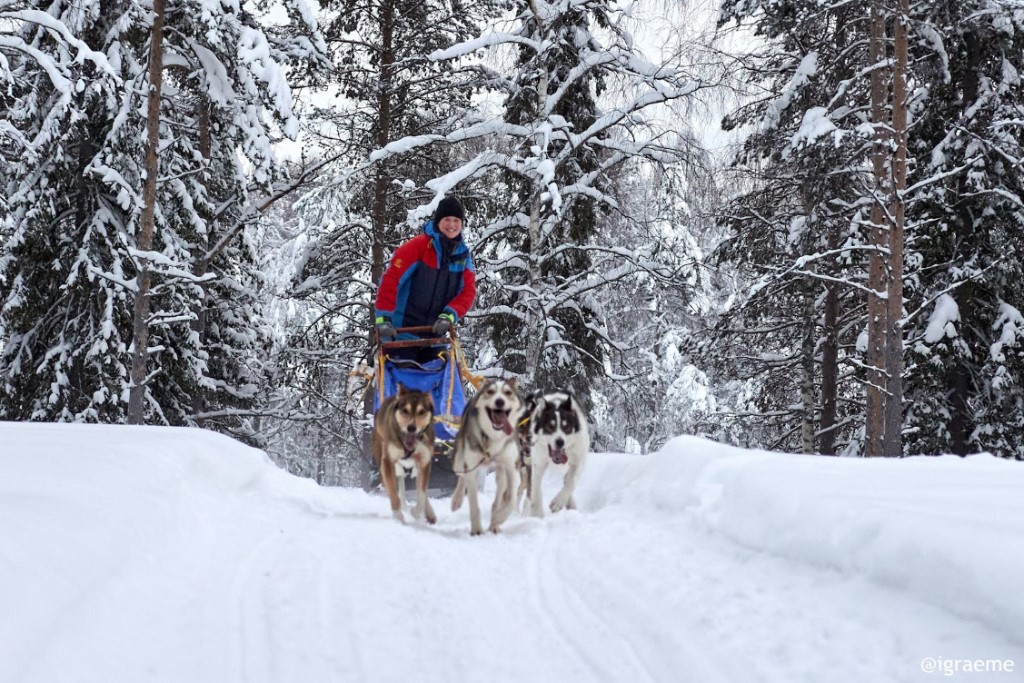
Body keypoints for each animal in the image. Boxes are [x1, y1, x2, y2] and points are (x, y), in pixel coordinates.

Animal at [372, 387, 436, 528]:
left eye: (421, 412)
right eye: (405, 410)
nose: (411, 427)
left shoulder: (424, 462)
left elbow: (421, 495)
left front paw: (417, 514)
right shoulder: (388, 462)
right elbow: (394, 495)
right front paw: (399, 519)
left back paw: (428, 513)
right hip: (383, 465)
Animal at [452, 378, 524, 532]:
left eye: (508, 393)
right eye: (490, 392)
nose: (499, 401)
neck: (493, 437)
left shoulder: (511, 466)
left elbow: (511, 500)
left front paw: (499, 518)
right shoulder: (471, 464)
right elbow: (473, 503)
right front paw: (477, 530)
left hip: (501, 472)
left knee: (499, 496)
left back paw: (494, 523)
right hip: (459, 461)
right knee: (462, 477)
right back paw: (457, 500)